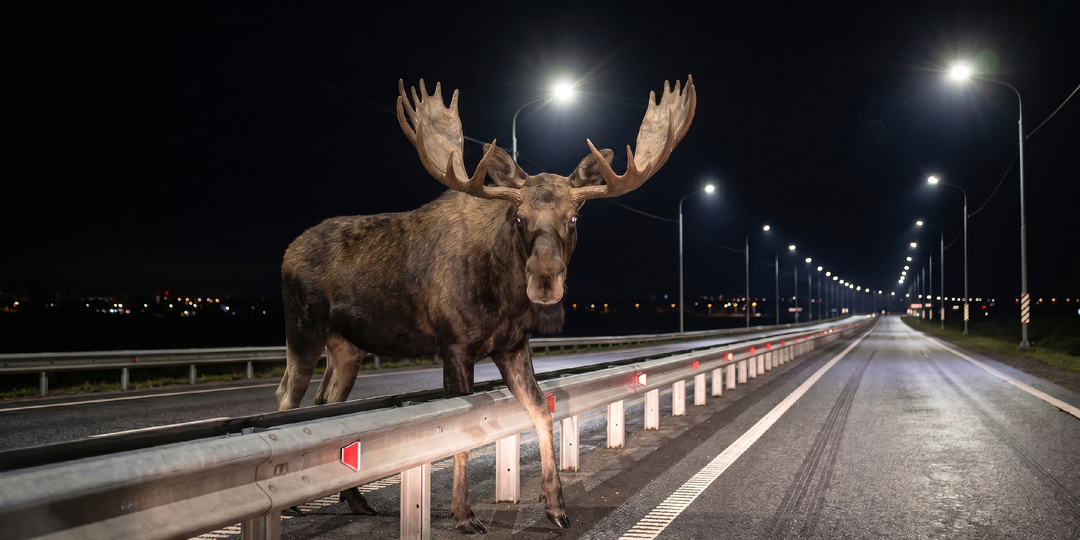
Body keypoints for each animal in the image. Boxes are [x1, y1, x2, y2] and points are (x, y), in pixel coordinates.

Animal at [275, 75, 696, 533]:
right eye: (519, 217)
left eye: (573, 217)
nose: (544, 280)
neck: (504, 297)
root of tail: (287, 253)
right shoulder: (455, 346)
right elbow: (459, 430)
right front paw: (464, 515)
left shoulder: (512, 347)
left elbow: (542, 412)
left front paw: (556, 506)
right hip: (302, 329)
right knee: (287, 396)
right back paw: (292, 505)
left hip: (348, 346)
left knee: (327, 403)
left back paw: (355, 501)